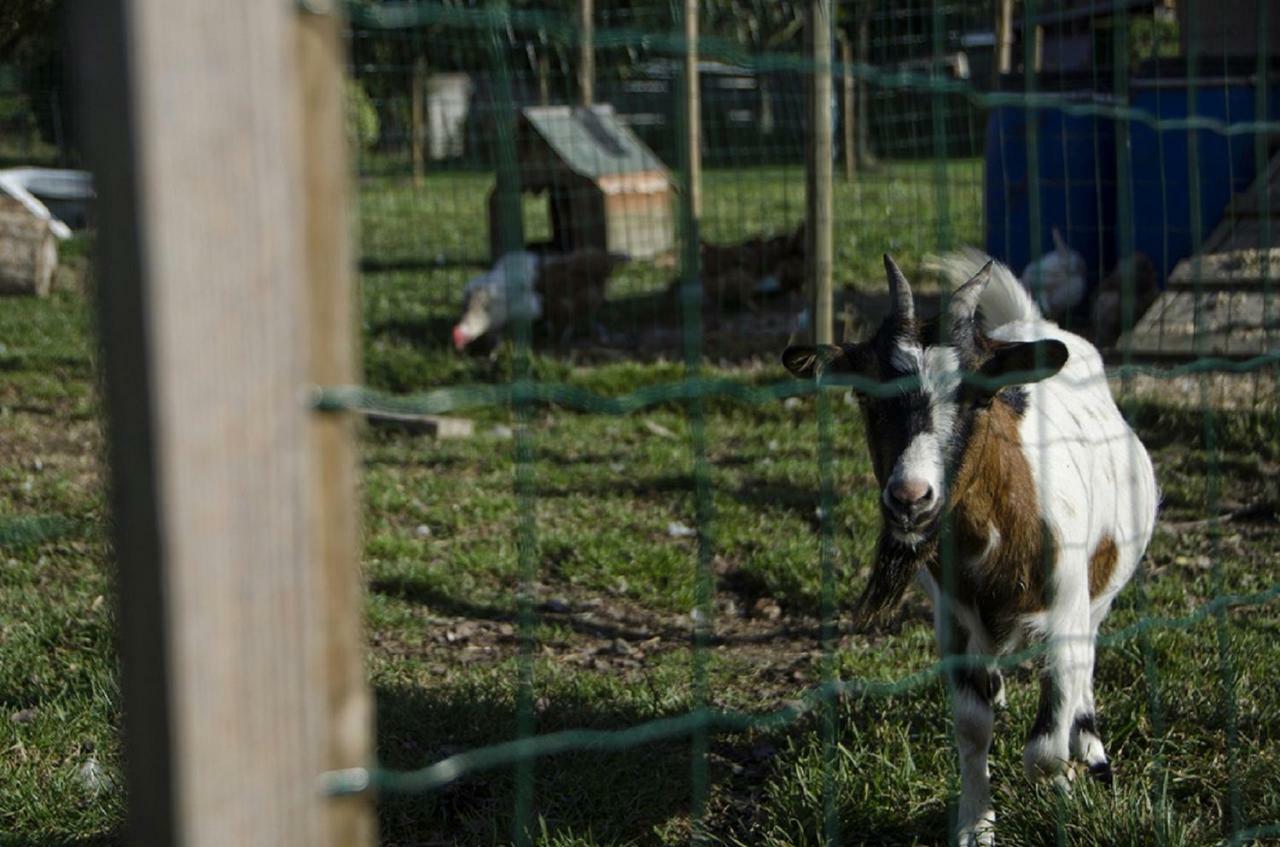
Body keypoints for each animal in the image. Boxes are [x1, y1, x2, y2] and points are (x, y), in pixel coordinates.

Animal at [778, 253, 1162, 847]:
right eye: (865, 395)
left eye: (980, 396)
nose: (911, 497)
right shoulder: (953, 622)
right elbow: (972, 726)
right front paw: (975, 826)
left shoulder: (1065, 610)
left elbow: (1043, 749)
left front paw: (1064, 788)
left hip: (1098, 590)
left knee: (1089, 660)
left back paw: (1091, 747)